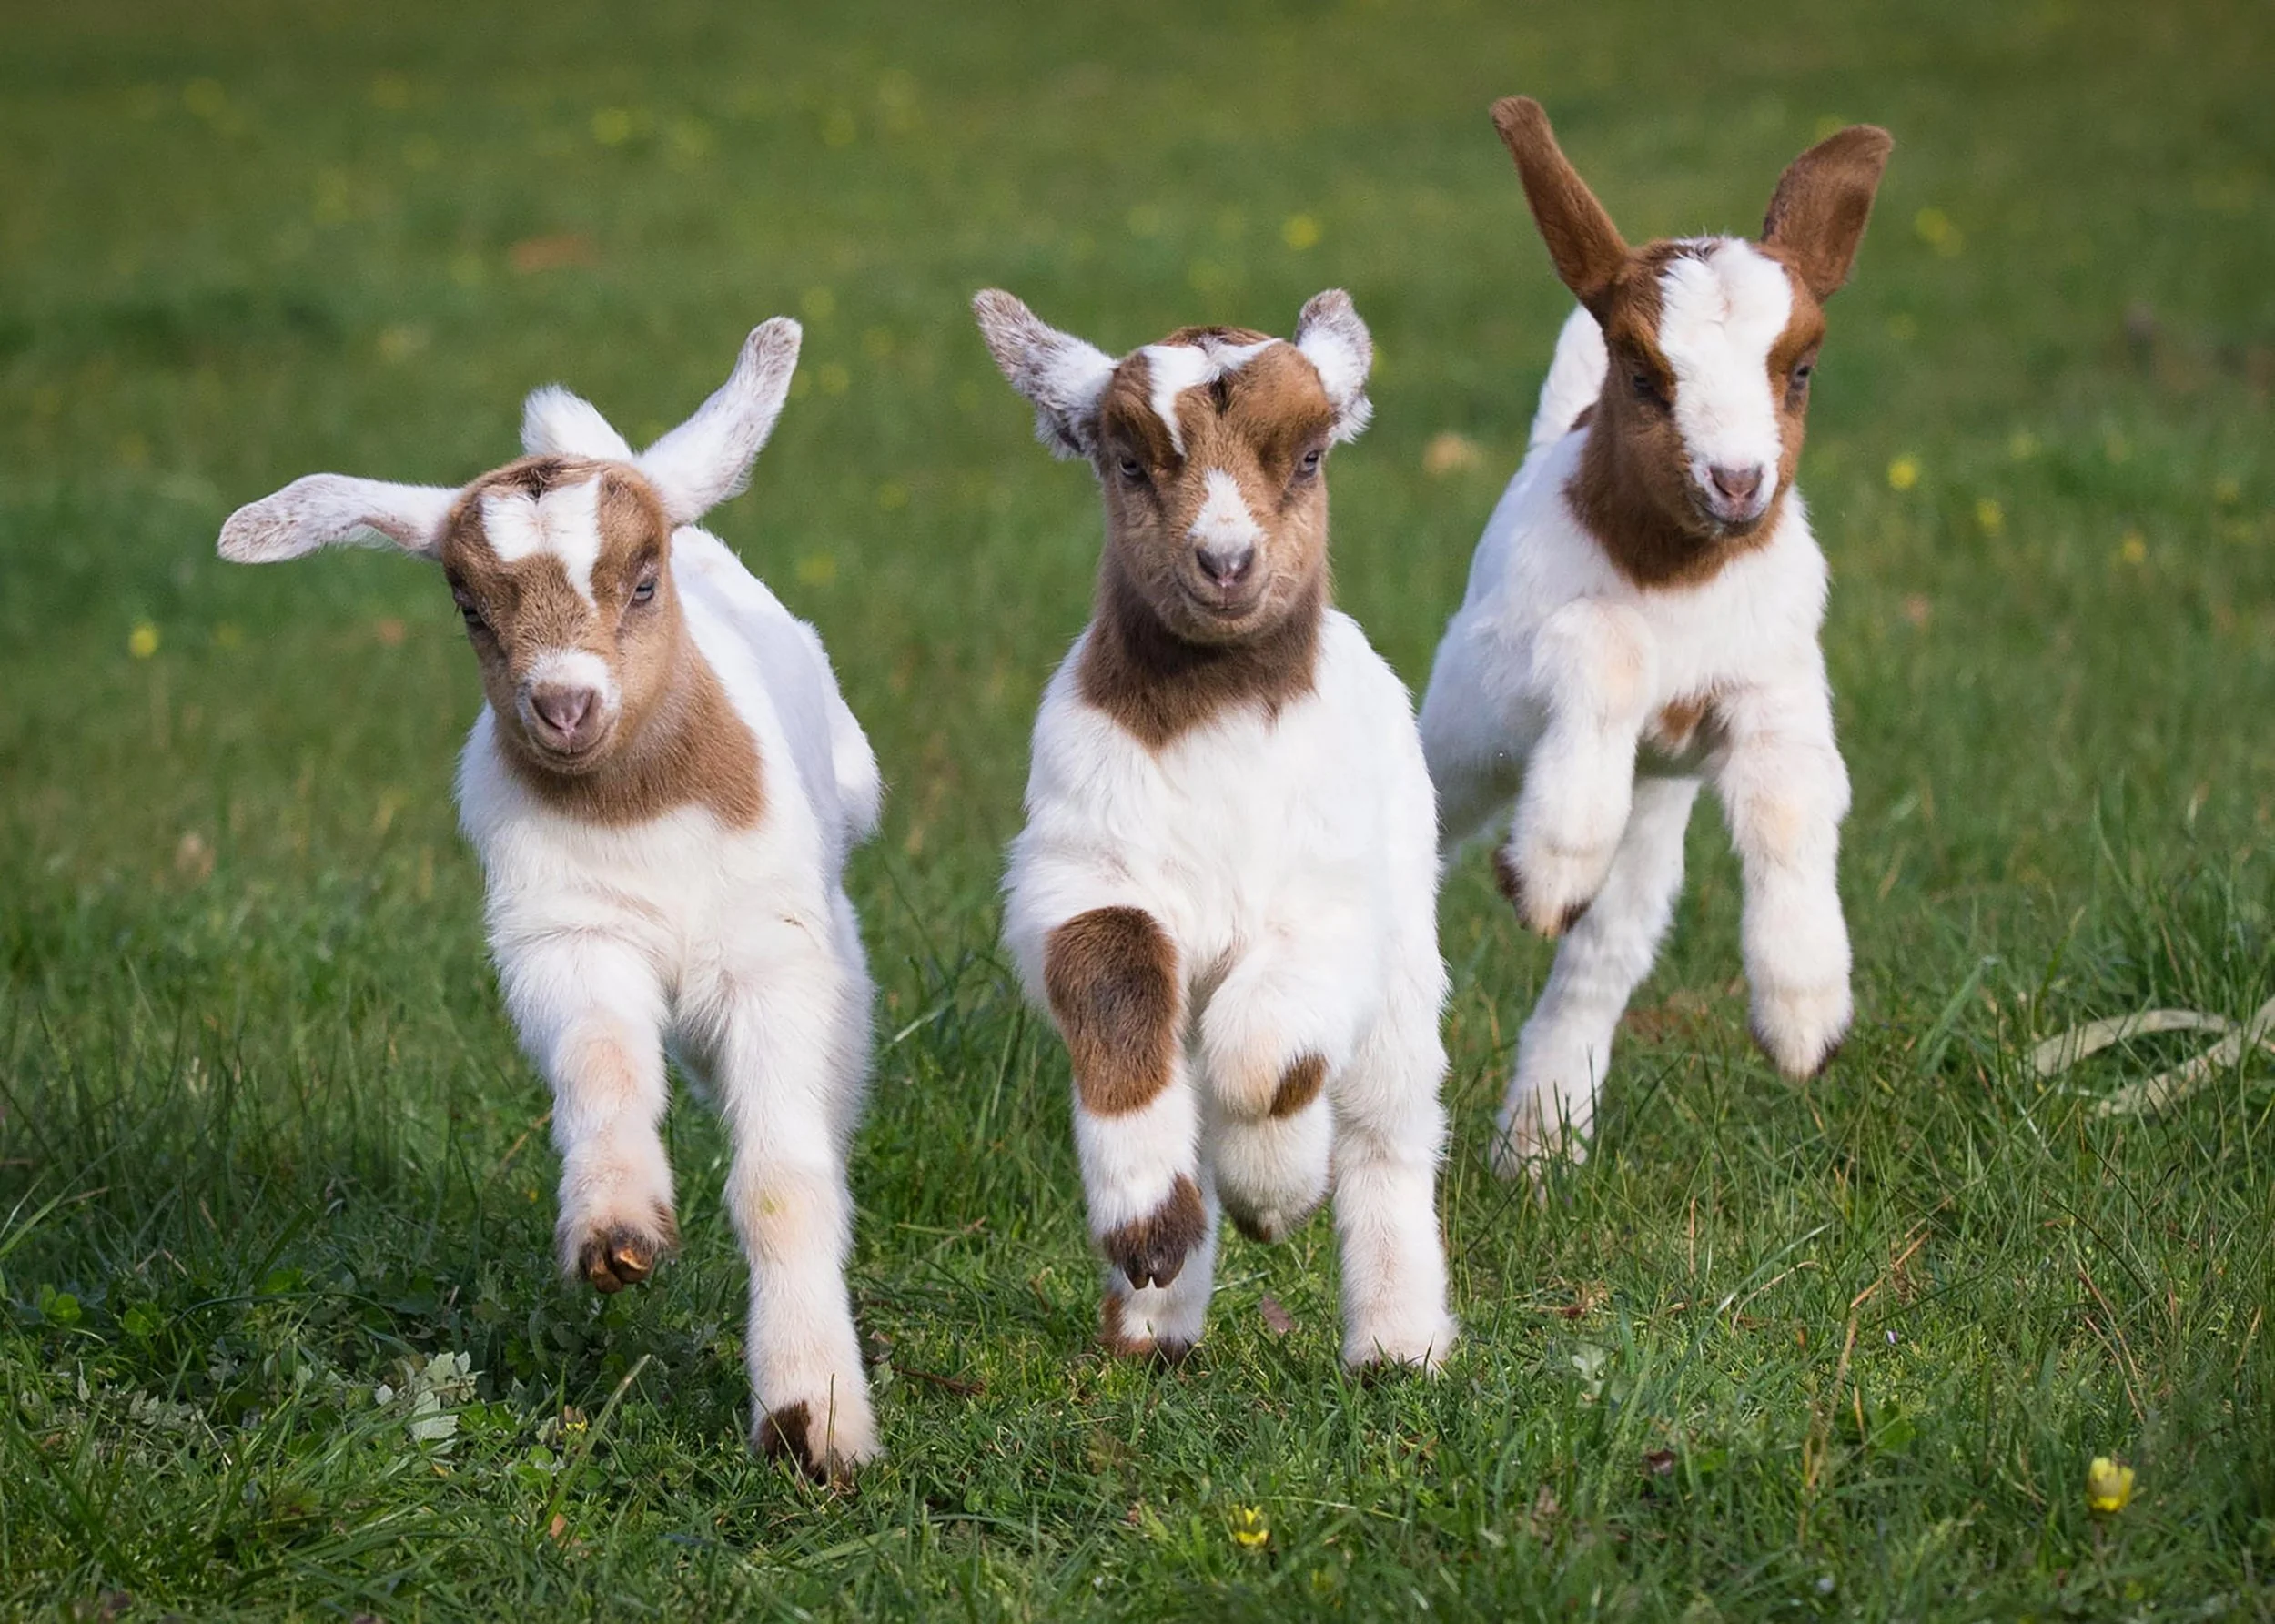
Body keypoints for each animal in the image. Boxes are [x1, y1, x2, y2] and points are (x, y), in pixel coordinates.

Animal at [216, 321, 885, 1478]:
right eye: (469, 607)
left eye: (644, 581)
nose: (563, 707)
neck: (635, 806)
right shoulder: (564, 937)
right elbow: (604, 1067)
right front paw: (616, 1234)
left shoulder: (773, 956)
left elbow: (781, 1182)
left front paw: (815, 1422)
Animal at [974, 288, 1458, 1372]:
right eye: (1126, 461)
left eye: (1312, 455)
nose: (1227, 563)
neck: (1220, 709)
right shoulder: (1081, 873)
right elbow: (1115, 994)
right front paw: (1151, 1233)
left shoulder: (1333, 904)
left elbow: (1264, 1050)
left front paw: (1274, 1194)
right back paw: (1154, 1329)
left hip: (1408, 945)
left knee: (1387, 1124)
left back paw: (1397, 1343)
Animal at [1418, 98, 1893, 1175]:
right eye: (1641, 375)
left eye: (1801, 372)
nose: (1738, 482)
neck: (1678, 576)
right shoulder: (1519, 653)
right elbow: (1604, 643)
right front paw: (1547, 865)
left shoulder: (1777, 683)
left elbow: (1791, 802)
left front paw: (1805, 1020)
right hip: (1463, 729)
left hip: (1653, 809)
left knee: (1604, 950)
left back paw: (1539, 1150)